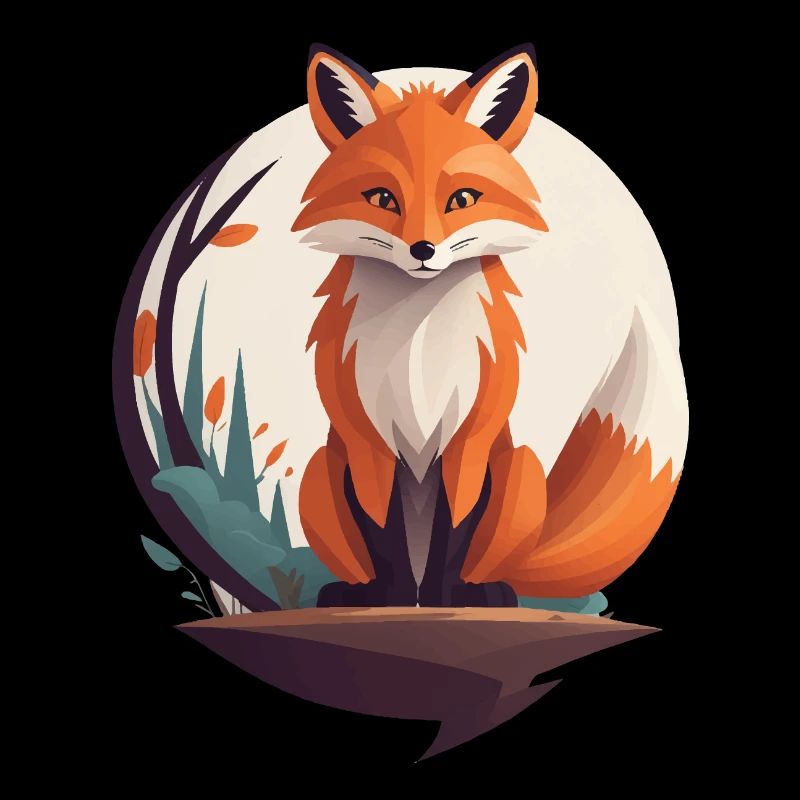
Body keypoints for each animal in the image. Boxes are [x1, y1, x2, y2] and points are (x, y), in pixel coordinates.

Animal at [291, 43, 687, 607]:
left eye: (462, 200)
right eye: (383, 199)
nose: (423, 249)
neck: (418, 340)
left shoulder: (471, 436)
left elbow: (456, 529)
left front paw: (445, 598)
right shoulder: (367, 440)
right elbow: (382, 530)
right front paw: (392, 599)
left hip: (520, 468)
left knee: (495, 563)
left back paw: (486, 590)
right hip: (317, 472)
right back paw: (359, 591)